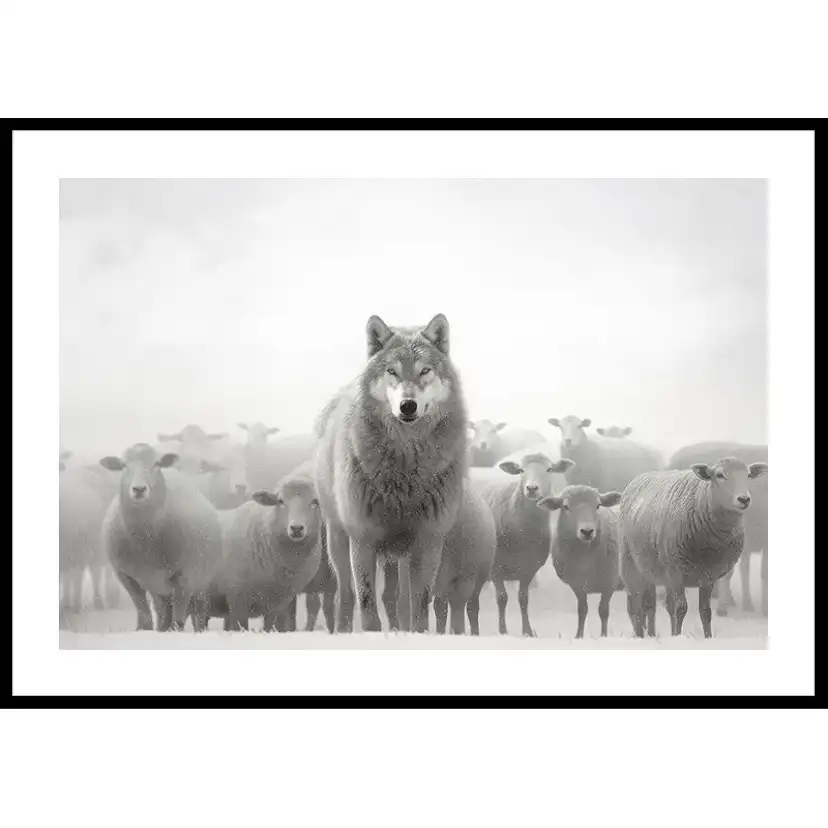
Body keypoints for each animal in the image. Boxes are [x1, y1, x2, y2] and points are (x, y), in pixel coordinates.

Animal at [100, 443, 224, 632]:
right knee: (162, 612)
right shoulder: (125, 575)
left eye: (156, 464)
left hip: (201, 579)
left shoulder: (185, 576)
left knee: (199, 612)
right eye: (123, 465)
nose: (139, 489)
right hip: (159, 587)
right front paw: (145, 630)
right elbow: (144, 615)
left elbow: (178, 619)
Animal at [209, 463, 323, 631]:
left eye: (315, 502)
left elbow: (268, 628)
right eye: (280, 501)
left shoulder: (275, 606)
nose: (296, 528)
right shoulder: (237, 601)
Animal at [314, 313, 469, 633]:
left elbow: (420, 606)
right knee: (345, 595)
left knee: (400, 601)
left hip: (401, 557)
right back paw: (342, 631)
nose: (407, 406)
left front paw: (416, 635)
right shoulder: (363, 539)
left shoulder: (428, 540)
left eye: (425, 371)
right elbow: (367, 605)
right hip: (338, 540)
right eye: (392, 372)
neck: (406, 470)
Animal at [471, 453, 575, 637]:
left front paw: (527, 631)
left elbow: (523, 599)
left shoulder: (529, 569)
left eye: (549, 469)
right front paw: (503, 631)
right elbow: (502, 598)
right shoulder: (496, 568)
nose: (532, 488)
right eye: (520, 470)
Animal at [537, 485, 623, 638]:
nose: (587, 531)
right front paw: (578, 636)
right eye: (566, 506)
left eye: (598, 505)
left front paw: (603, 636)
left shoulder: (610, 583)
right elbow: (582, 610)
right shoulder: (577, 585)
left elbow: (603, 611)